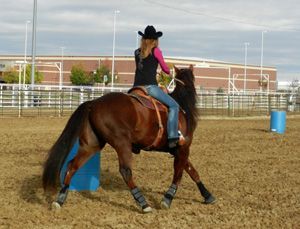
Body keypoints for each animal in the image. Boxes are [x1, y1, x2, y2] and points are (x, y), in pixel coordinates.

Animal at [42, 65, 216, 213]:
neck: (181, 107)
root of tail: (94, 103)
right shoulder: (183, 148)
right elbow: (179, 174)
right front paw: (167, 199)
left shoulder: (177, 150)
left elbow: (192, 171)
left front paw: (207, 195)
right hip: (122, 143)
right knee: (125, 171)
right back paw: (144, 204)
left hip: (91, 144)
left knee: (72, 165)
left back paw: (59, 199)